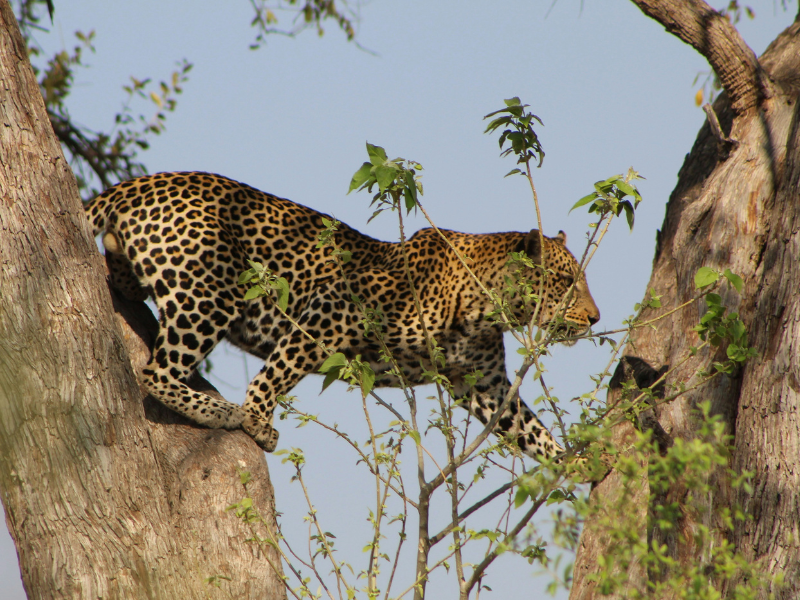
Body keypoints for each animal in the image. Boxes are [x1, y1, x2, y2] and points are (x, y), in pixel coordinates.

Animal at [86, 171, 600, 460]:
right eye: (566, 280)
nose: (596, 318)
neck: (486, 310)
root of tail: (141, 182)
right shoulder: (331, 308)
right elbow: (276, 372)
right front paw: (257, 420)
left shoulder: (484, 383)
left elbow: (530, 429)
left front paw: (574, 463)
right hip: (214, 293)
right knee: (155, 372)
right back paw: (221, 410)